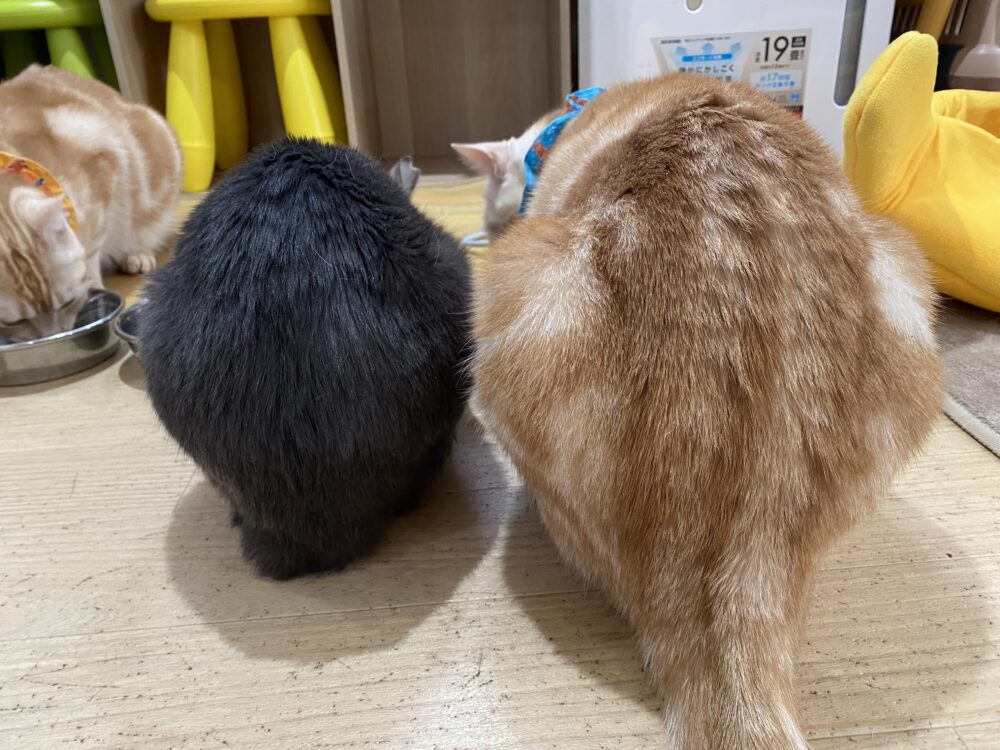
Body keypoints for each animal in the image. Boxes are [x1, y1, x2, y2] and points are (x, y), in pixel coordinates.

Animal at [0, 65, 181, 341]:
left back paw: (137, 255)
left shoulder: (103, 170)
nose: (57, 335)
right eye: (14, 322)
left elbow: (91, 252)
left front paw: (91, 283)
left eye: (67, 304)